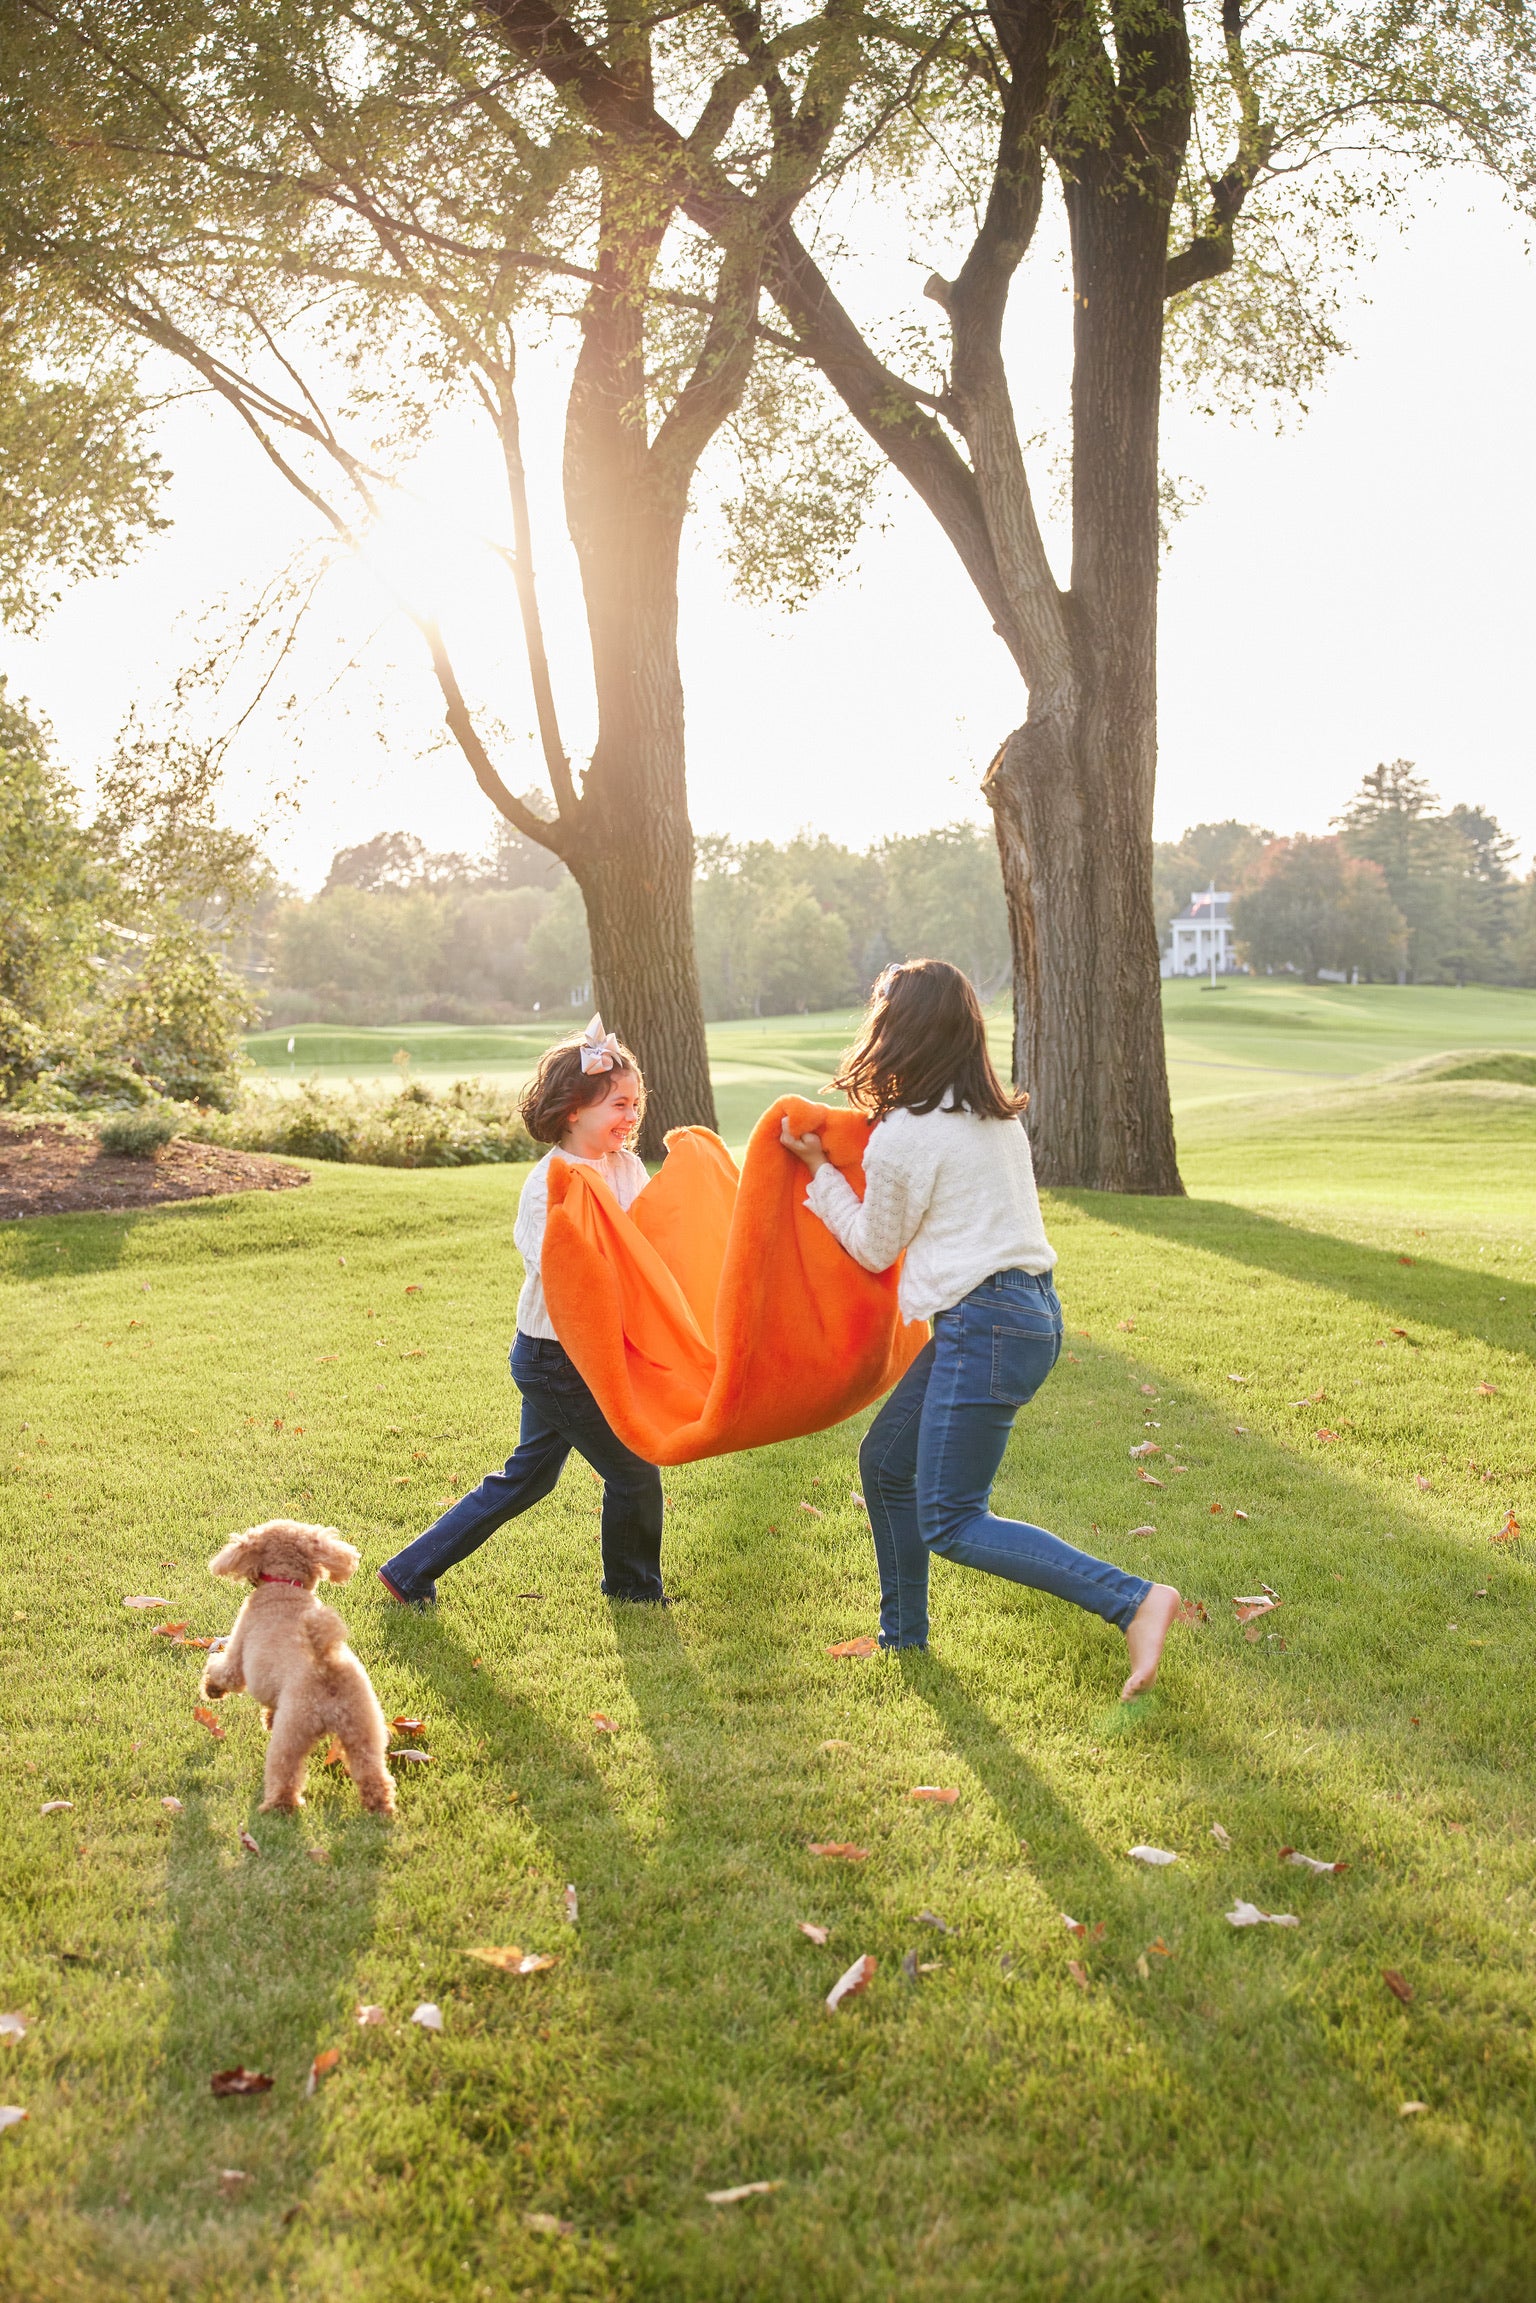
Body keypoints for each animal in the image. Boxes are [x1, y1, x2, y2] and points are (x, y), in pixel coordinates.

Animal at [198, 1510, 400, 1814]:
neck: (284, 1586)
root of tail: (326, 1664)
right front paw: (268, 1717)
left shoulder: (239, 1648)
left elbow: (224, 1672)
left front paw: (211, 1689)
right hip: (364, 1728)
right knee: (372, 1771)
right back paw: (381, 1806)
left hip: (294, 1729)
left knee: (285, 1770)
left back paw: (278, 1807)